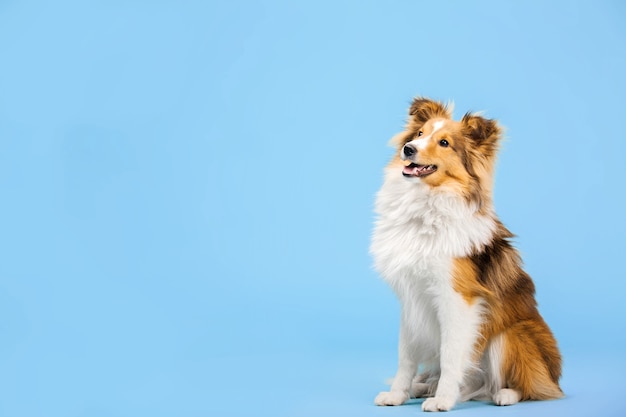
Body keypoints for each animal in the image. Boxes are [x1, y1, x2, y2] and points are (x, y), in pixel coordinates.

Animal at [370, 96, 560, 410]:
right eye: (419, 133)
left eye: (444, 143)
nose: (408, 148)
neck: (426, 207)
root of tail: (556, 376)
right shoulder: (411, 299)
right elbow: (405, 357)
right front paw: (397, 395)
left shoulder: (457, 299)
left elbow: (451, 355)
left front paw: (443, 400)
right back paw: (423, 387)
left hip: (511, 334)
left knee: (531, 386)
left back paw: (504, 394)